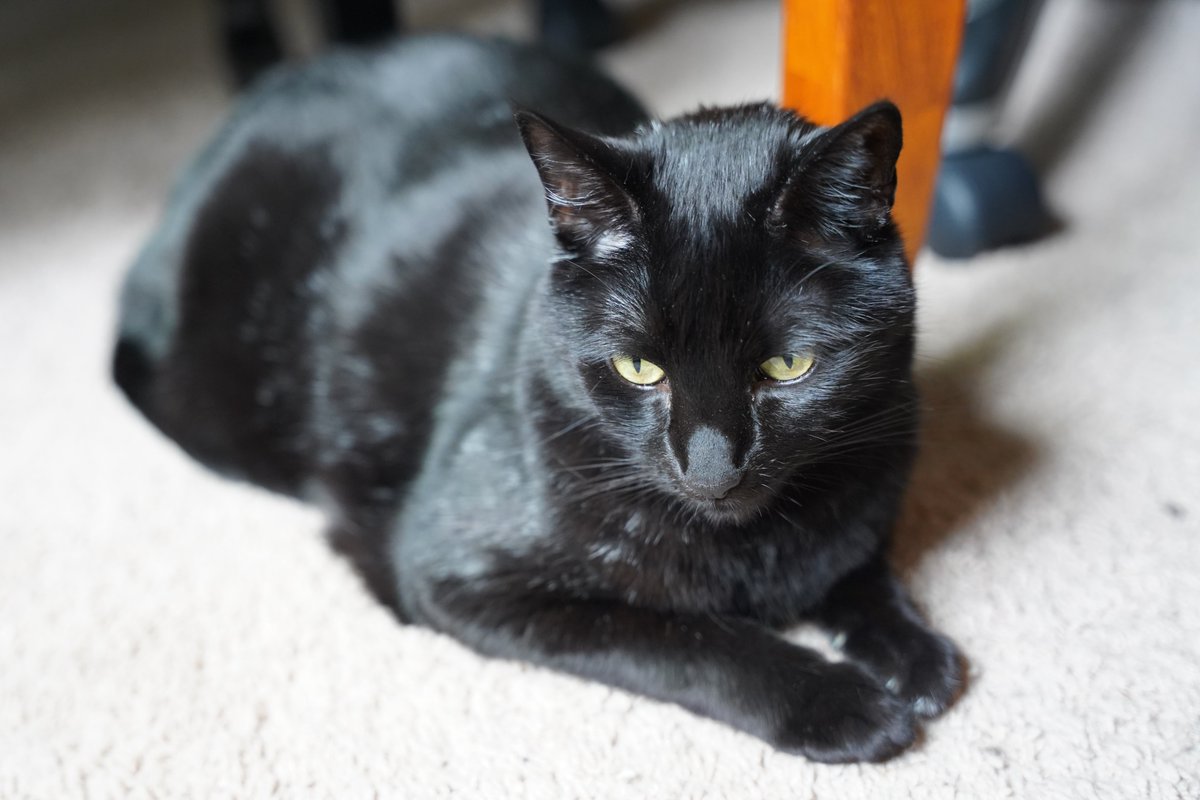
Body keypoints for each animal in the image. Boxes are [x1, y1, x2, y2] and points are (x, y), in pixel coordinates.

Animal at [110, 35, 955, 762]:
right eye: (639, 368)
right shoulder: (462, 577)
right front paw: (841, 702)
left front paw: (913, 651)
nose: (711, 468)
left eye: (787, 366)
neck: (751, 547)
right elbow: (687, 639)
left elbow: (856, 559)